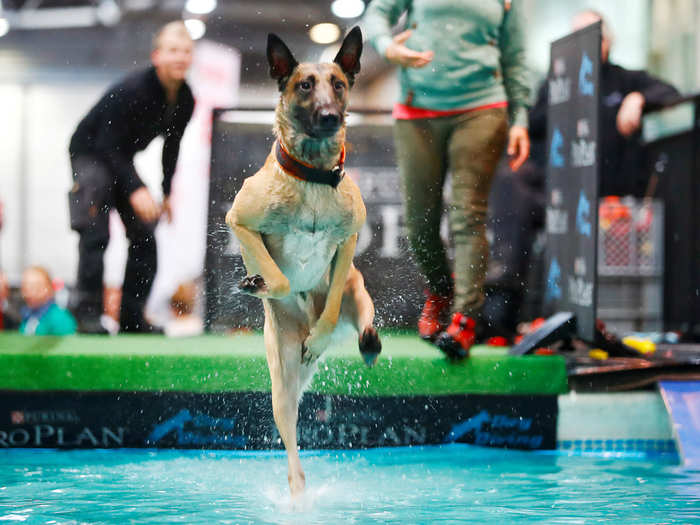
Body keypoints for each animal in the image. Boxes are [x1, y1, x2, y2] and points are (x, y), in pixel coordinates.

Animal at [226, 27, 380, 496]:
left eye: (340, 85)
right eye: (304, 85)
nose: (330, 116)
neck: (312, 175)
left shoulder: (348, 240)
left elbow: (328, 304)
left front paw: (321, 331)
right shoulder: (239, 221)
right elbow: (277, 277)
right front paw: (256, 283)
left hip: (355, 289)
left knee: (362, 317)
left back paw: (363, 341)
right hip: (283, 380)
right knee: (292, 445)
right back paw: (297, 493)